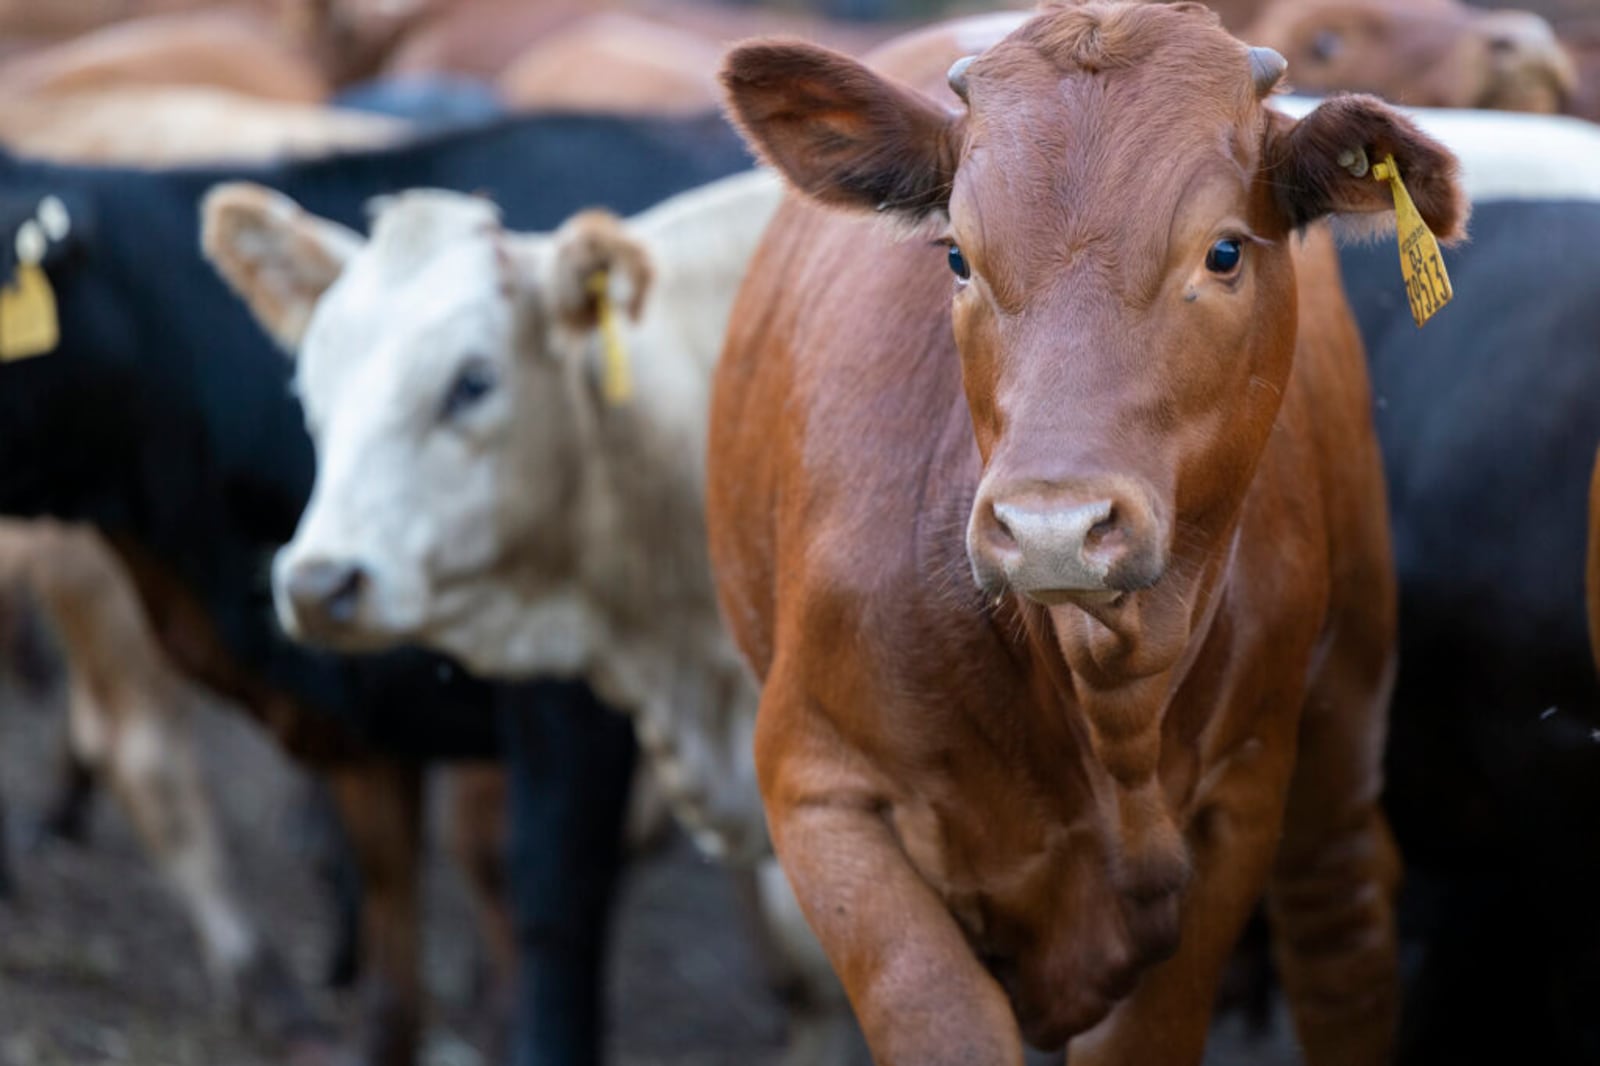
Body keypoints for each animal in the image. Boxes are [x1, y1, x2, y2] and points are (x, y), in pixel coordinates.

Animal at [0, 110, 752, 1066]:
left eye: (474, 382)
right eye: (311, 381)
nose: (319, 580)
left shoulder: (571, 709)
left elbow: (544, 898)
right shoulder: (364, 709)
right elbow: (392, 903)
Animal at [711, 4, 1467, 1063]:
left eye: (1224, 252)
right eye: (957, 255)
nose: (1050, 529)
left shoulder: (1240, 809)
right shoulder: (819, 786)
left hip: (1343, 725)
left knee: (1341, 925)